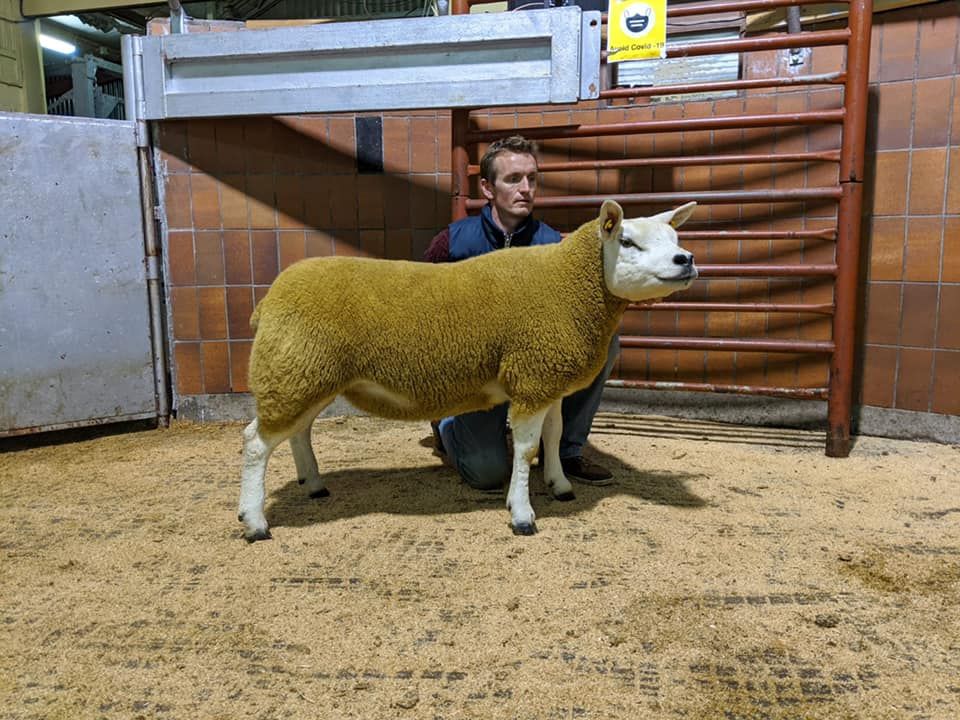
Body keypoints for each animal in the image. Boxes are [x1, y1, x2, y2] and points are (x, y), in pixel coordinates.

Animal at [237, 199, 697, 541]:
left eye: (675, 238)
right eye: (628, 242)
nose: (686, 259)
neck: (570, 286)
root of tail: (270, 298)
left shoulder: (546, 379)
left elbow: (553, 435)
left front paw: (559, 485)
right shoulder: (532, 375)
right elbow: (526, 449)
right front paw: (522, 514)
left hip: (308, 374)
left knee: (299, 431)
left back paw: (313, 484)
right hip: (293, 368)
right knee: (256, 442)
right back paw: (254, 521)